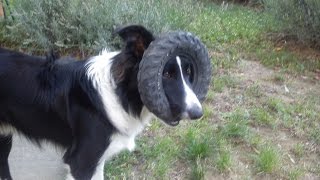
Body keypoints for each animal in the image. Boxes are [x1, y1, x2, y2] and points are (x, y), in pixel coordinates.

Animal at [0, 25, 202, 180]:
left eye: (188, 72)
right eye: (166, 74)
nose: (198, 113)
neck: (120, 95)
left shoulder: (97, 161)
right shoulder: (80, 163)